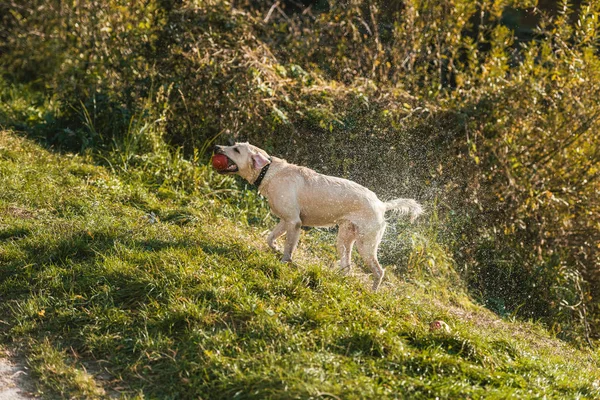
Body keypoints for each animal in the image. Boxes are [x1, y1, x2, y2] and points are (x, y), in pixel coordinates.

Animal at [212, 144, 422, 290]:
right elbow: (270, 238)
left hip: (366, 245)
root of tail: (381, 204)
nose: (216, 147)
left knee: (379, 271)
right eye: (233, 145)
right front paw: (275, 248)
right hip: (345, 239)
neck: (269, 172)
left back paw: (372, 292)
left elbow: (289, 248)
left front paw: (284, 263)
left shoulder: (294, 223)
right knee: (348, 267)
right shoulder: (286, 221)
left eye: (236, 149)